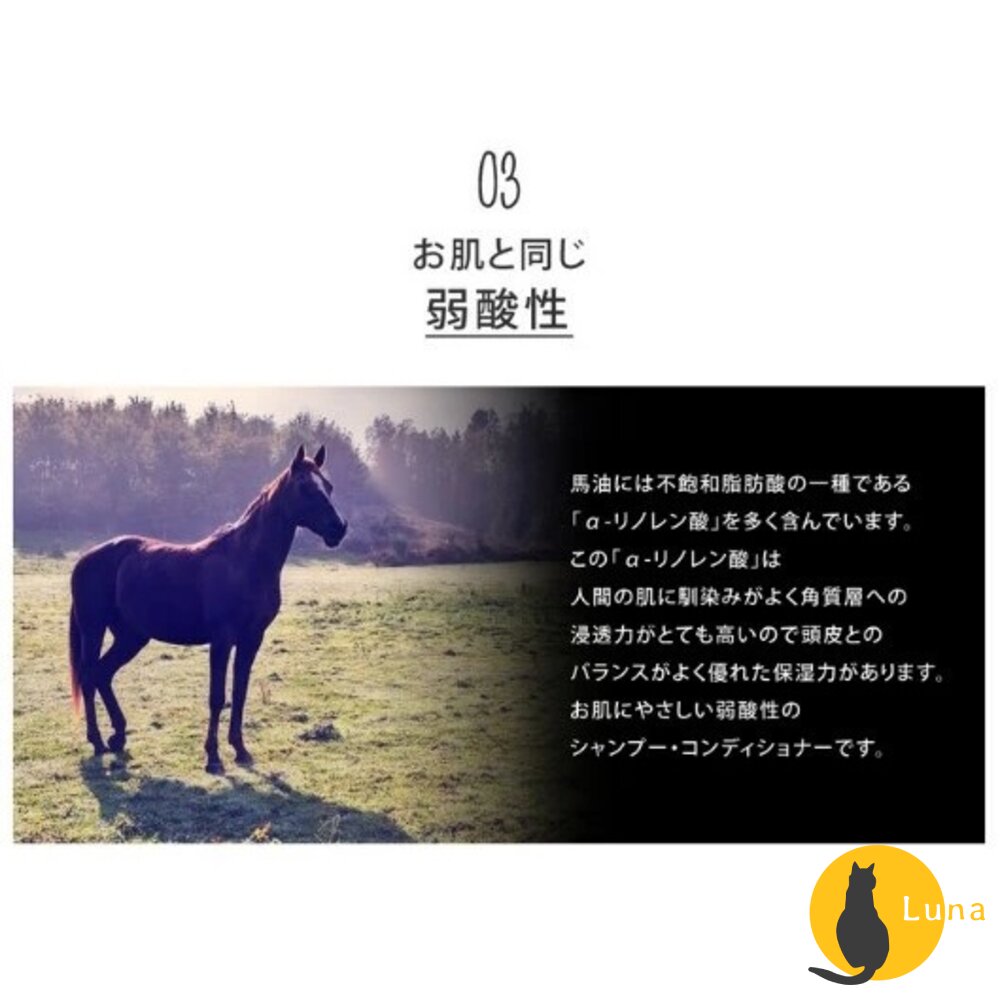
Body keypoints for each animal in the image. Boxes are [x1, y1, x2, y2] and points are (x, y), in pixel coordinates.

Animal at [68, 445, 348, 773]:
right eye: (305, 487)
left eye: (328, 486)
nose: (338, 528)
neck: (245, 561)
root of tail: (86, 558)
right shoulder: (222, 640)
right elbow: (217, 697)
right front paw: (213, 757)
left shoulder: (252, 639)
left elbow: (239, 692)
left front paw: (240, 750)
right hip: (93, 629)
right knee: (89, 677)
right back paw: (98, 741)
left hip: (131, 637)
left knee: (102, 674)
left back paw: (118, 737)